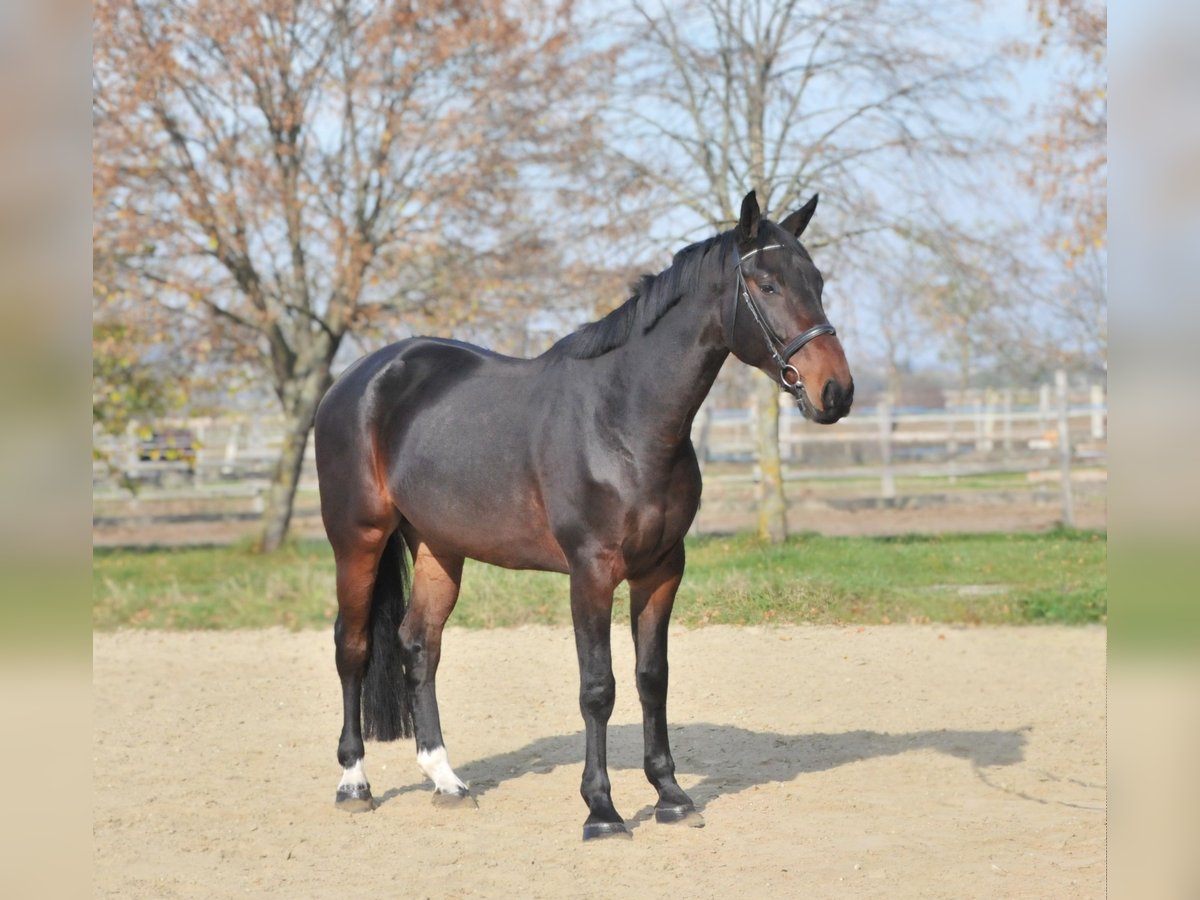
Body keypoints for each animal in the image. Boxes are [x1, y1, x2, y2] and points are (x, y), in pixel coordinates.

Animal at [309, 187, 854, 844]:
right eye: (768, 284)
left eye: (817, 281)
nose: (836, 392)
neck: (621, 420)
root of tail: (358, 379)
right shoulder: (591, 573)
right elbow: (599, 687)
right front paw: (602, 810)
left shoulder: (662, 570)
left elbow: (652, 679)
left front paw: (671, 796)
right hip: (357, 539)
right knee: (353, 646)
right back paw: (353, 784)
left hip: (440, 546)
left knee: (420, 646)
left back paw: (447, 781)